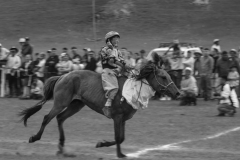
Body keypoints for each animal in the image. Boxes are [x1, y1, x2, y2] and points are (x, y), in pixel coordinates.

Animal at [19, 62, 180, 158]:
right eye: (163, 77)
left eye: (168, 75)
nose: (177, 92)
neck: (131, 90)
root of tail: (63, 76)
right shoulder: (117, 117)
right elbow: (118, 137)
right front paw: (114, 151)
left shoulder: (123, 119)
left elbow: (122, 137)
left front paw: (106, 146)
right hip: (60, 102)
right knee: (47, 117)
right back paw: (35, 138)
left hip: (76, 105)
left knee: (60, 118)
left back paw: (61, 148)